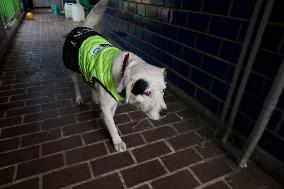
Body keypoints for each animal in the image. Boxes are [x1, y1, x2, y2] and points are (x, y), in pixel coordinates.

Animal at [62, 0, 166, 151]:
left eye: (163, 91)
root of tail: (83, 27)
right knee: (76, 83)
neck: (124, 67)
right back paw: (79, 98)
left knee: (90, 82)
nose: (164, 113)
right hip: (72, 67)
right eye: (147, 93)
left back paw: (95, 97)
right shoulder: (107, 102)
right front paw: (117, 140)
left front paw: (105, 119)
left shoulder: (113, 98)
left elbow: (110, 115)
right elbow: (111, 124)